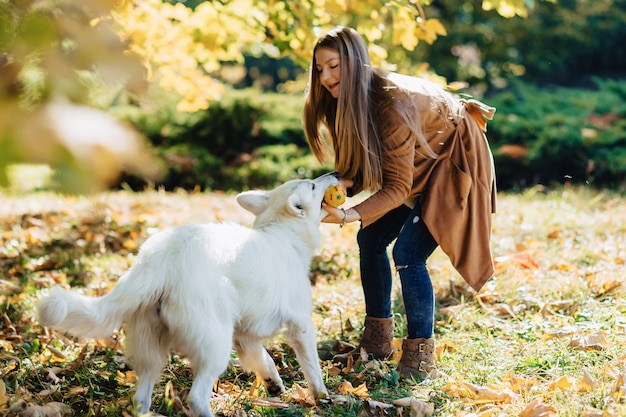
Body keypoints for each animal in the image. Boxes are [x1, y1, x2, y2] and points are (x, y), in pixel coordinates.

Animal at [36, 174, 336, 416]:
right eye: (312, 185)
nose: (334, 173)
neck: (282, 232)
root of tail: (160, 257)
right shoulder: (300, 326)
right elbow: (312, 368)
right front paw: (321, 396)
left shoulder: (246, 337)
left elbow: (265, 360)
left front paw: (273, 384)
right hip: (215, 348)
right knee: (196, 398)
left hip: (151, 352)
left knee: (140, 398)